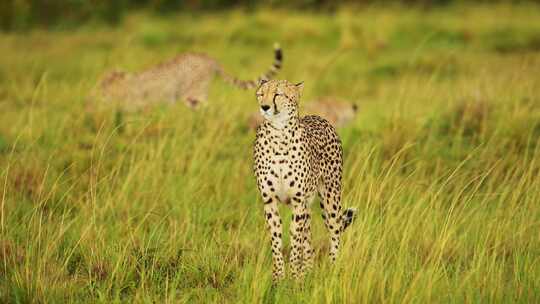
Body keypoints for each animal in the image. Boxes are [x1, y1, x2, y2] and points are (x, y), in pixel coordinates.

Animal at [89, 43, 282, 111]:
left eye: (102, 84)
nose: (97, 91)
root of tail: (209, 57)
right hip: (191, 98)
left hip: (195, 92)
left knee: (211, 107)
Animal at [254, 79, 356, 282]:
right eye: (261, 94)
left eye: (278, 94)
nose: (264, 107)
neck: (279, 135)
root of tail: (320, 117)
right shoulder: (269, 200)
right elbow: (276, 239)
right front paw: (279, 278)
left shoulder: (297, 201)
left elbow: (295, 239)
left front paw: (293, 277)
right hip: (309, 205)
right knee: (308, 236)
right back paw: (308, 271)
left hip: (330, 198)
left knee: (334, 231)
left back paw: (332, 269)